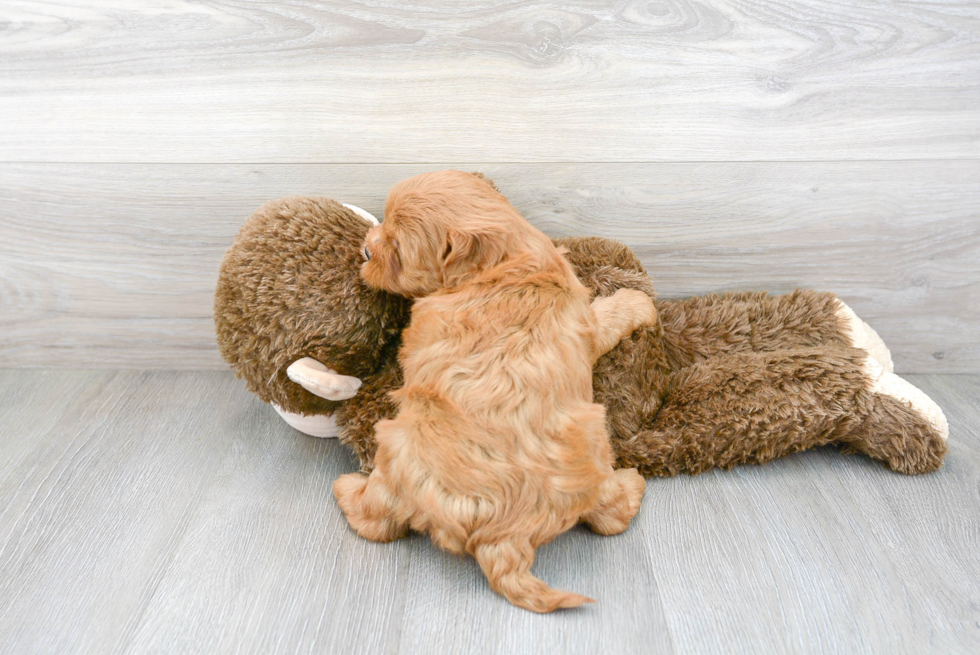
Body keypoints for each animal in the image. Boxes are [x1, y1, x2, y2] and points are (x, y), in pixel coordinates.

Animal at [334, 172, 656, 612]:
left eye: (397, 246)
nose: (367, 248)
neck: (501, 263)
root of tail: (501, 537)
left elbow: (607, 315)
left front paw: (636, 301)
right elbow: (604, 315)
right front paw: (637, 301)